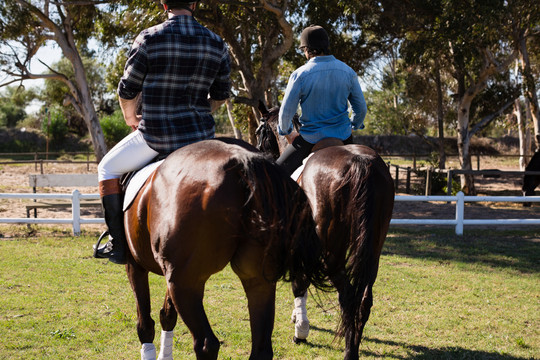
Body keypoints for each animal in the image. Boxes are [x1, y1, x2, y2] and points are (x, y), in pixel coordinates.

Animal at [122, 139, 326, 360]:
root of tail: (240, 161)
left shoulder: (136, 266)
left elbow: (145, 323)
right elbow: (167, 314)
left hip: (184, 283)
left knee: (206, 344)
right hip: (257, 280)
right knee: (261, 348)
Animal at [255, 104, 394, 360]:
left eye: (261, 131)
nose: (261, 152)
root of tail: (359, 163)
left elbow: (299, 284)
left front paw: (300, 330)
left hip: (332, 252)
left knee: (348, 296)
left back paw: (349, 351)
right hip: (372, 251)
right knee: (364, 299)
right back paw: (354, 345)